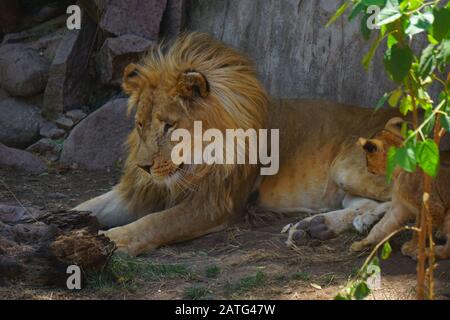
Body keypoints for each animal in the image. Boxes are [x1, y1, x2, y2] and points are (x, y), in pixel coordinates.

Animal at [74, 32, 398, 256]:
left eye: (169, 125)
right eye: (140, 124)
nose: (143, 167)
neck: (195, 163)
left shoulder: (214, 205)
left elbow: (155, 222)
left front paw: (111, 240)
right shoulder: (139, 191)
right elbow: (86, 208)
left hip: (348, 167)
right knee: (366, 202)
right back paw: (315, 228)